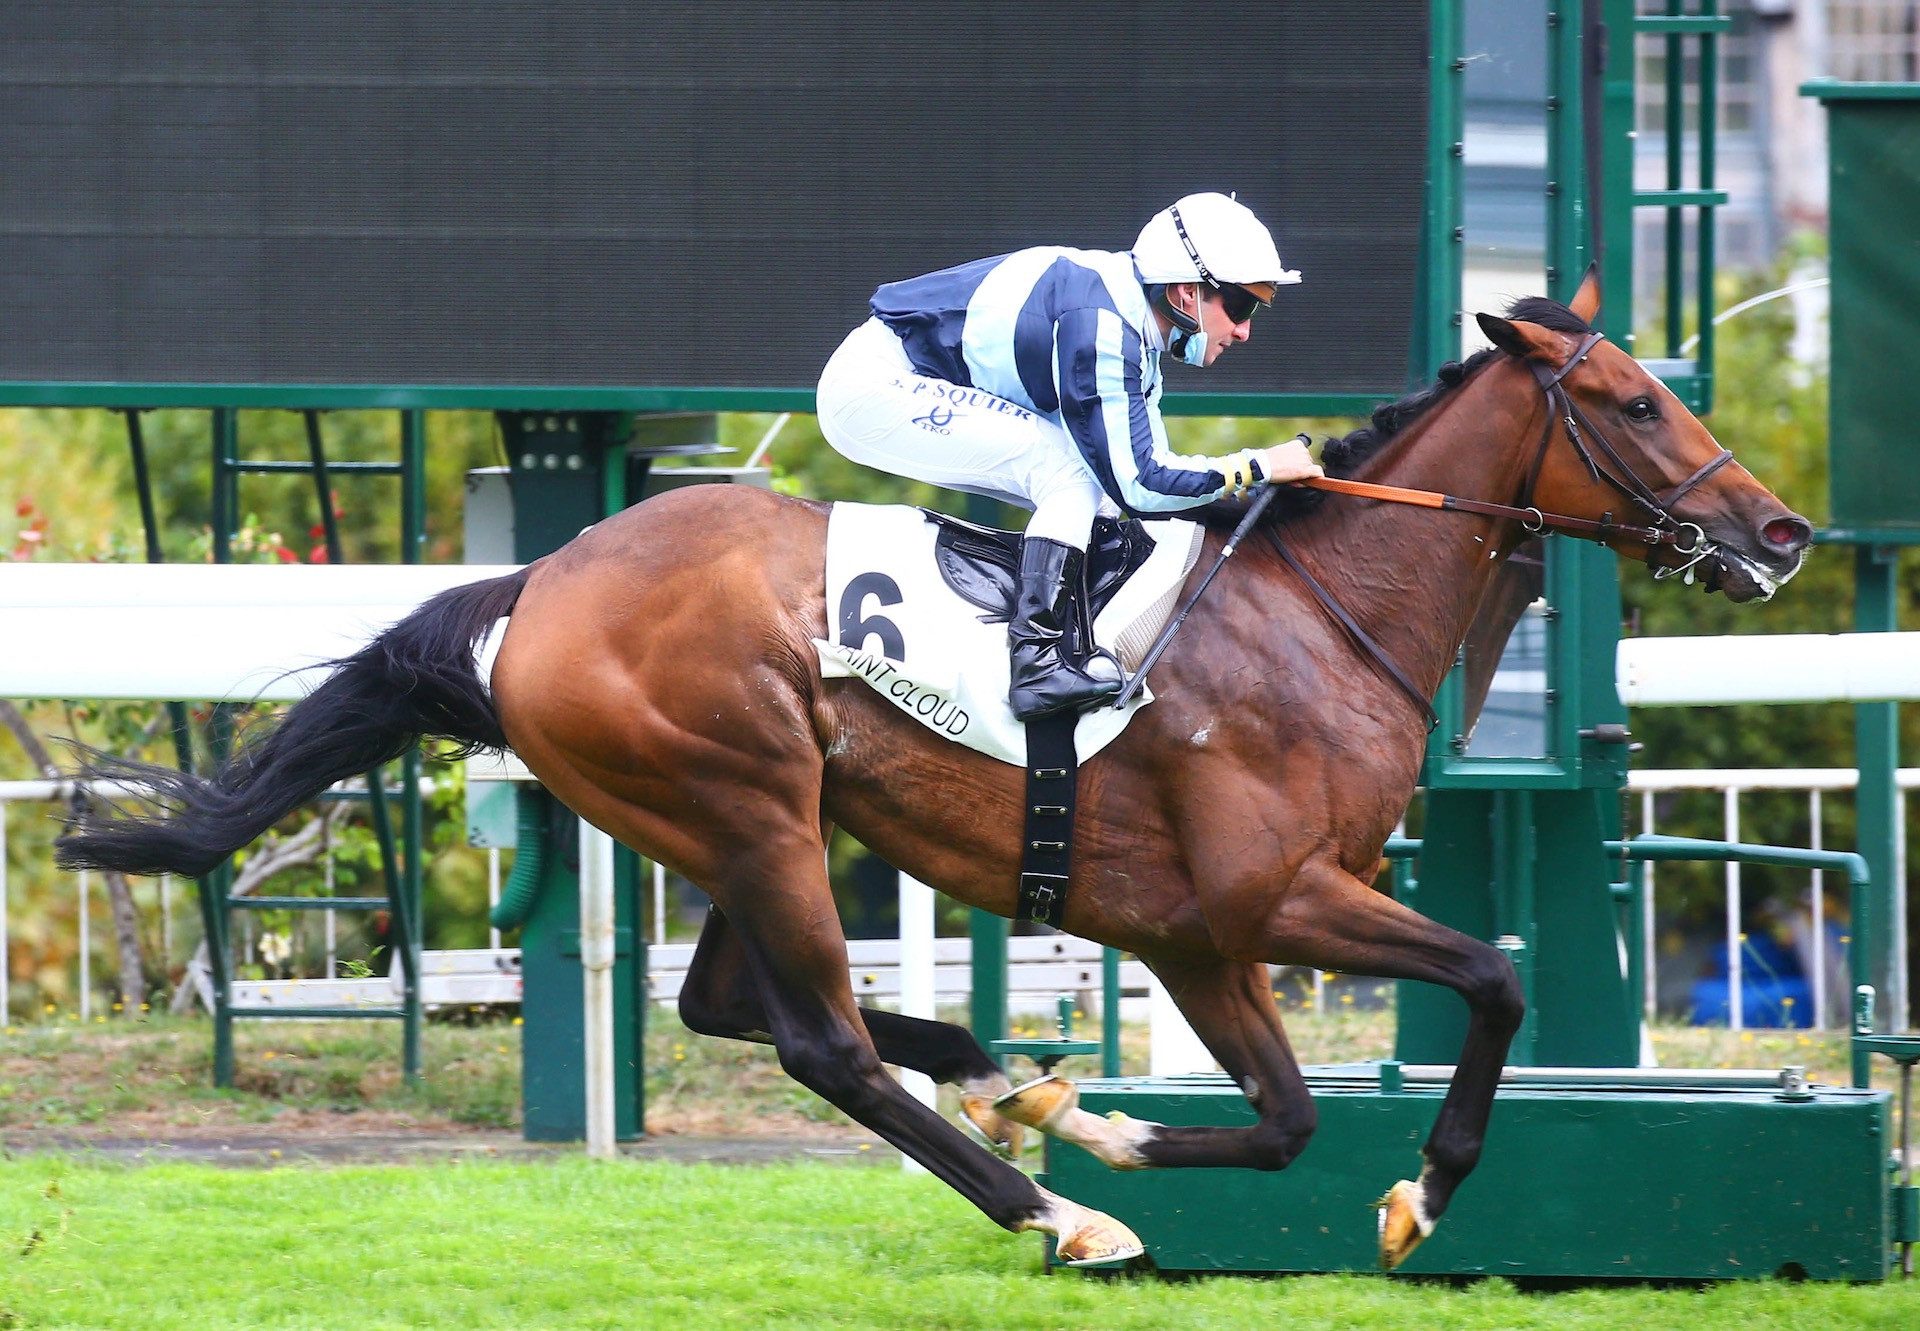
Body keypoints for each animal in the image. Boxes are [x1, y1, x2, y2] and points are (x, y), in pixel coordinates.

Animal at [52, 270, 1804, 1267]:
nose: (1781, 530)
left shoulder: (1201, 932)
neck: (1327, 614)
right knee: (817, 1040)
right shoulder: (1275, 896)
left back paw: (998, 1075)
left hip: (746, 823)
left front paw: (1095, 1113)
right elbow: (1494, 979)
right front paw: (1411, 1194)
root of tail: (536, 585)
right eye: (1633, 400)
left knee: (731, 1007)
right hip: (746, 801)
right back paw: (1057, 1209)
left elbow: (1292, 1116)